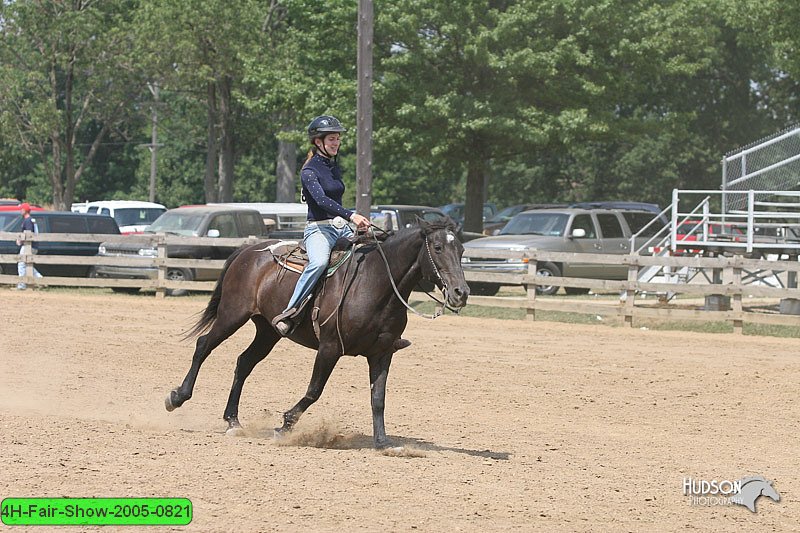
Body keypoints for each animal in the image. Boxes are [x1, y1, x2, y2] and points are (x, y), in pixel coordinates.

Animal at [163, 218, 468, 446]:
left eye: (462, 251)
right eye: (437, 247)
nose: (461, 292)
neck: (375, 282)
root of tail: (248, 251)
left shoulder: (382, 353)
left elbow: (378, 398)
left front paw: (383, 442)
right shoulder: (330, 348)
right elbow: (314, 391)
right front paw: (285, 425)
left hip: (268, 331)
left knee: (244, 362)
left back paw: (233, 421)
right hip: (232, 314)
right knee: (204, 345)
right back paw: (177, 397)